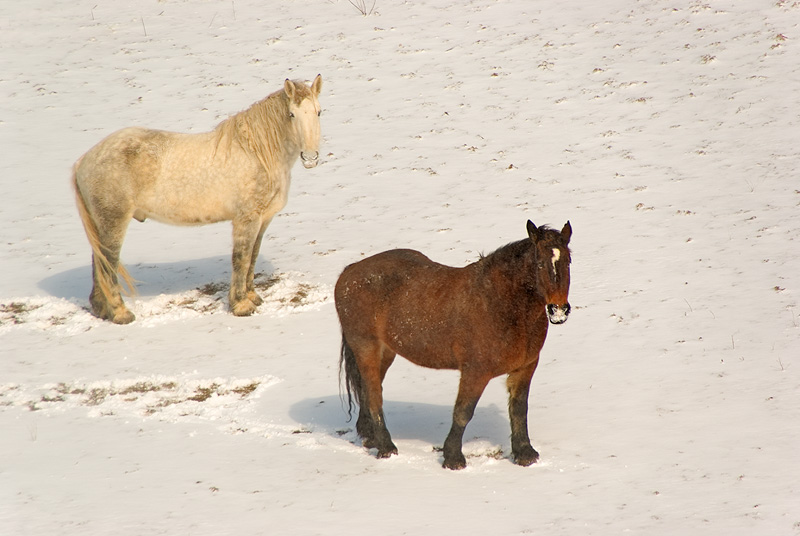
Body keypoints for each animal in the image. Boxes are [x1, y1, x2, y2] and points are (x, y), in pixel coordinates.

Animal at [73, 74, 324, 322]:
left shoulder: (263, 219)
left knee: (99, 262)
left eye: (319, 112)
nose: (310, 157)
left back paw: (102, 309)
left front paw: (252, 297)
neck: (257, 153)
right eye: (292, 114)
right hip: (113, 222)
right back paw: (120, 313)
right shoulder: (246, 219)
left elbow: (252, 256)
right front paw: (241, 305)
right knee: (108, 264)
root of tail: (83, 161)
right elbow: (241, 259)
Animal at [334, 220, 572, 466]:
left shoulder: (525, 368)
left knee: (367, 389)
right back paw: (386, 447)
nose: (558, 310)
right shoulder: (475, 372)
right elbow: (463, 412)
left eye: (567, 261)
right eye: (540, 263)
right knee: (373, 395)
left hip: (386, 351)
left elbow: (518, 409)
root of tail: (350, 271)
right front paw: (453, 458)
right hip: (366, 347)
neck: (497, 302)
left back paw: (370, 438)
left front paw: (525, 453)